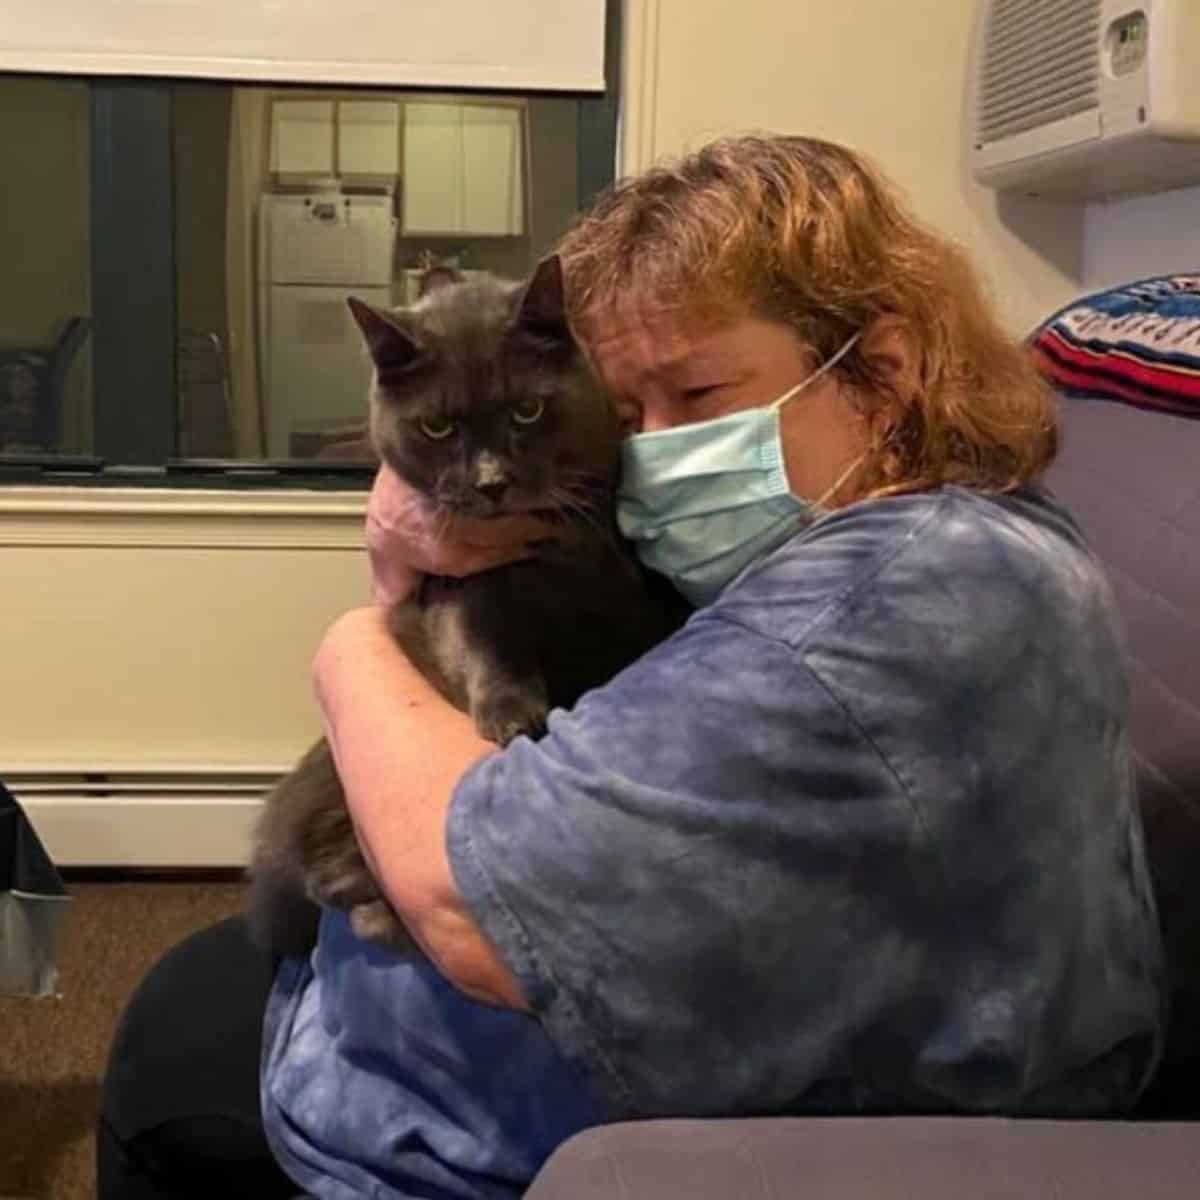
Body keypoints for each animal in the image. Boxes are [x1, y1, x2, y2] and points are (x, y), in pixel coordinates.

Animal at [248, 258, 681, 960]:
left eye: (527, 410)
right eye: (437, 427)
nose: (490, 482)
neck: (558, 555)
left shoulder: (630, 579)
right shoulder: (464, 587)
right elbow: (488, 638)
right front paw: (511, 714)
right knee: (329, 868)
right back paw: (379, 914)